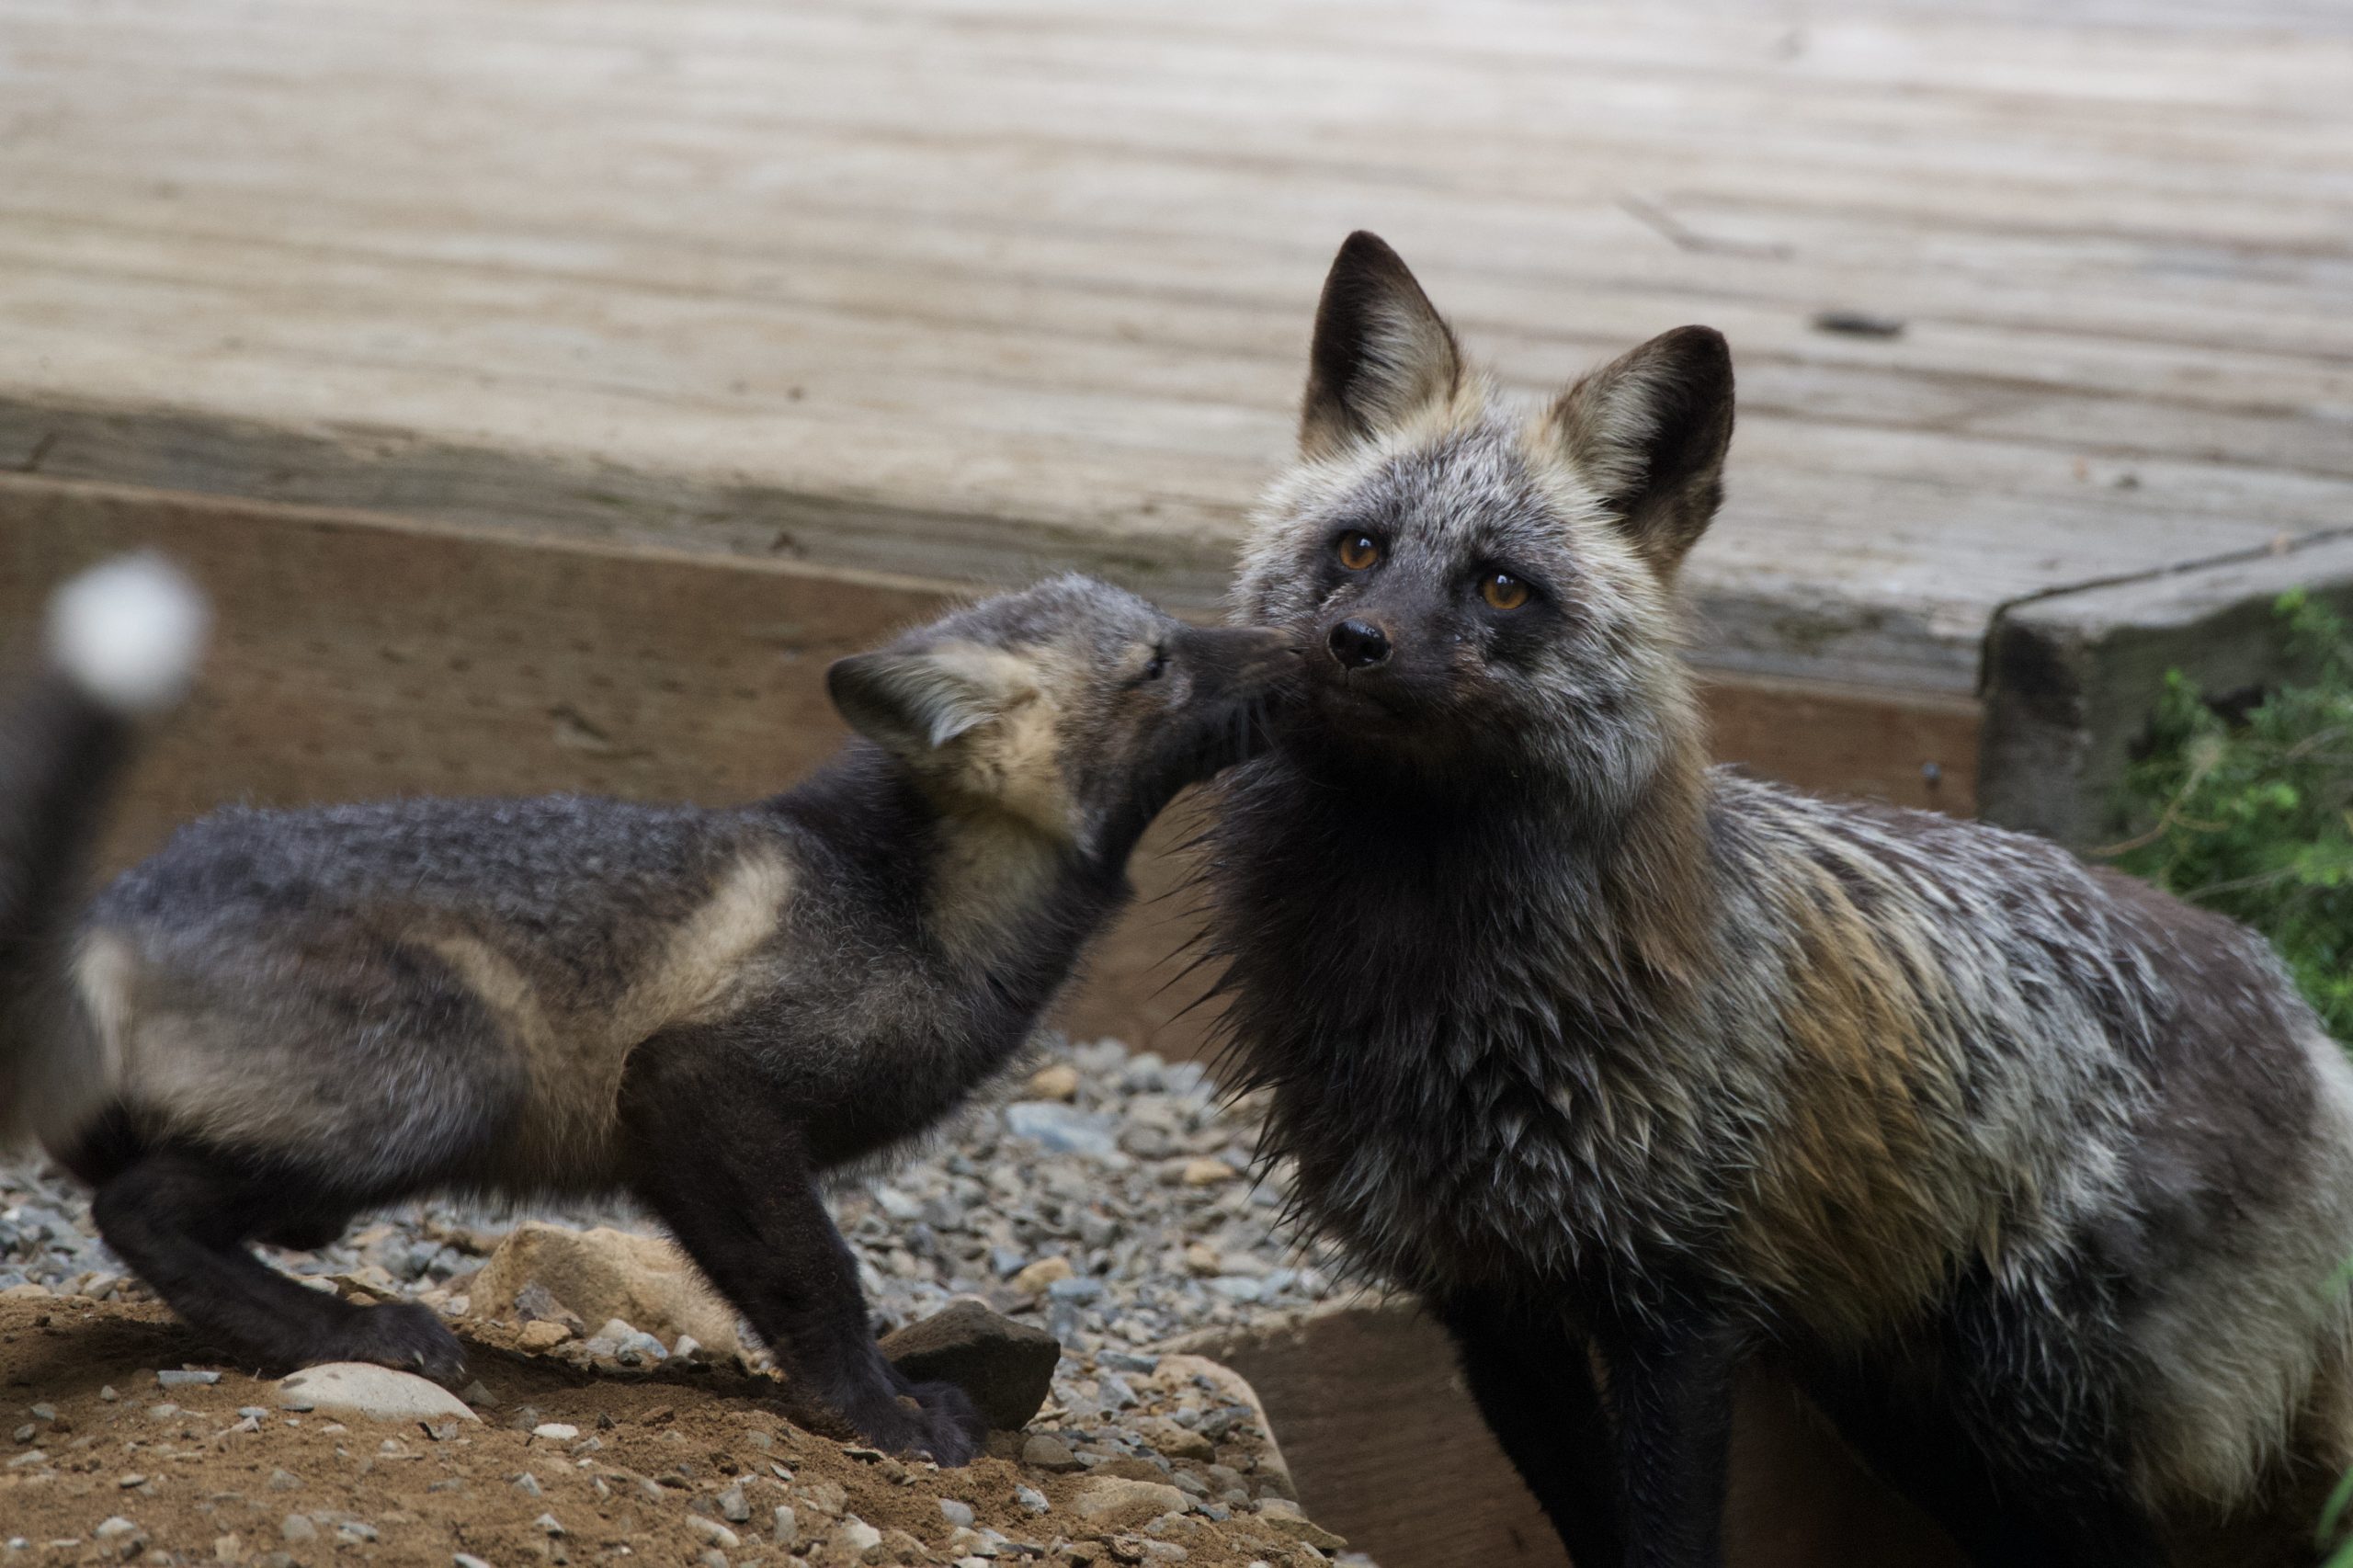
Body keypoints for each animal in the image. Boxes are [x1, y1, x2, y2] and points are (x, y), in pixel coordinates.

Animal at [0, 560, 1292, 1465]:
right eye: (1158, 663)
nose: (1310, 645)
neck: (897, 901)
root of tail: (112, 912)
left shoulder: (671, 1148)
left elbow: (774, 1280)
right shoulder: (697, 1084)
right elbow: (823, 1279)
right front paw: (872, 1413)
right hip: (453, 1081)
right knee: (139, 1208)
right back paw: (351, 1336)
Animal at [1201, 231, 2353, 1567]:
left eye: (1500, 587)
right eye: (1358, 550)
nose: (1355, 643)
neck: (1428, 982)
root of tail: (2295, 1008)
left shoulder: (1676, 1308)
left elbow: (1668, 1542)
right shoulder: (1490, 1308)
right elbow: (1596, 1530)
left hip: (2028, 1416)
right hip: (1921, 1423)